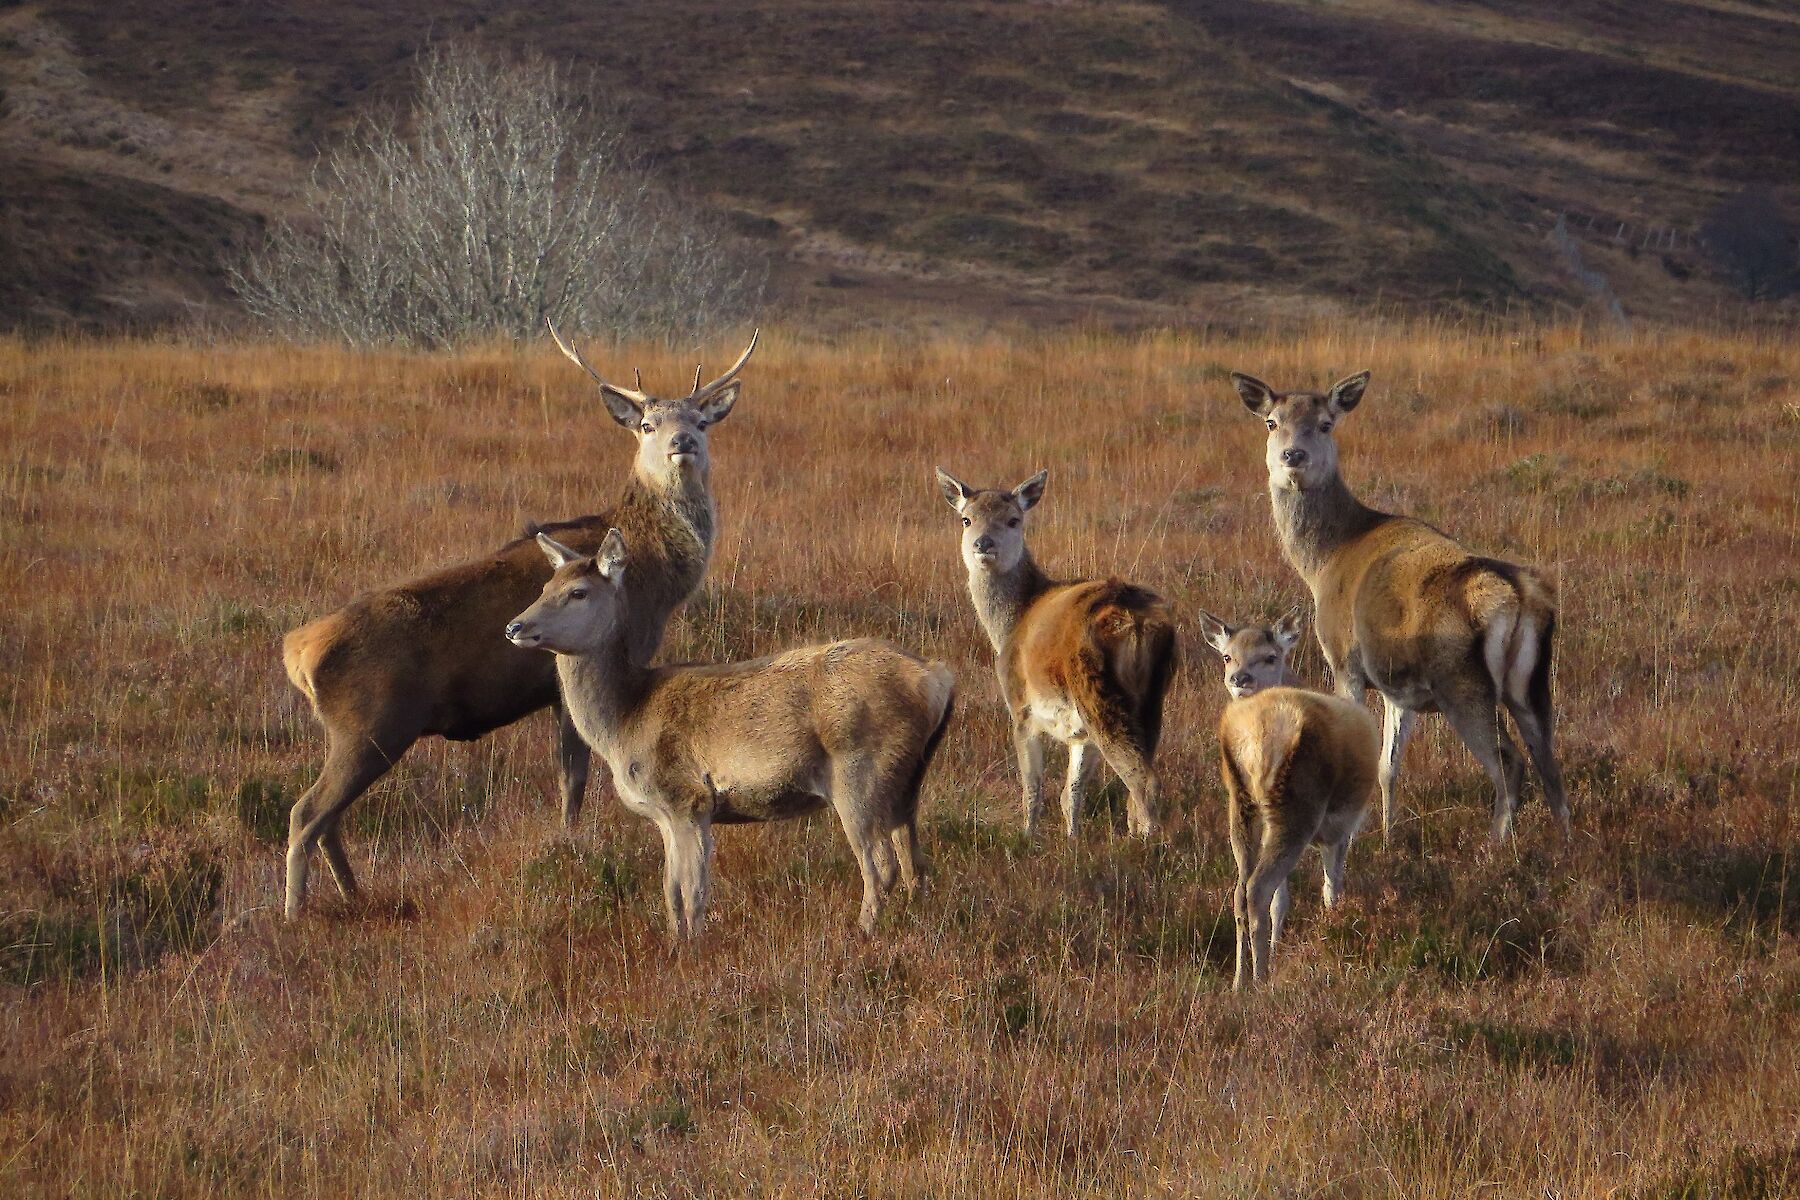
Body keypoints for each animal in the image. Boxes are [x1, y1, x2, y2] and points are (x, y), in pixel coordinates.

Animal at [277, 323, 756, 913]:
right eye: (648, 424)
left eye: (699, 421)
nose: (681, 443)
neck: (656, 578)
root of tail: (297, 652)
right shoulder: (581, 677)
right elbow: (574, 779)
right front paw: (571, 840)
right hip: (369, 724)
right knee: (306, 812)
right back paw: (295, 914)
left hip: (355, 733)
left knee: (328, 818)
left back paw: (353, 894)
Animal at [507, 528, 957, 935]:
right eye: (545, 586)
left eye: (578, 592)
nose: (515, 626)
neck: (624, 720)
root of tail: (936, 679)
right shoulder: (664, 815)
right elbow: (670, 892)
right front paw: (676, 946)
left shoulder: (688, 798)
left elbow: (692, 893)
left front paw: (694, 952)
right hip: (907, 781)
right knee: (915, 862)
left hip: (860, 771)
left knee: (881, 865)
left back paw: (861, 935)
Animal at [928, 464, 1180, 841]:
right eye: (966, 519)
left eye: (1013, 519)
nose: (983, 544)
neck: (1009, 625)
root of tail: (1136, 621)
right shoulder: (1078, 731)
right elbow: (1070, 792)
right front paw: (1071, 839)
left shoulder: (1020, 706)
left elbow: (1032, 786)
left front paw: (1028, 837)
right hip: (1151, 699)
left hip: (1096, 692)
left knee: (1143, 781)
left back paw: (1144, 845)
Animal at [1195, 604, 1375, 993]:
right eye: (1227, 655)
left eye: (1269, 656)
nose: (1240, 678)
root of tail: (1254, 734)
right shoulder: (1342, 827)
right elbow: (1331, 887)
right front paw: (1333, 926)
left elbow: (1283, 900)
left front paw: (1279, 947)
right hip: (1298, 805)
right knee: (1257, 889)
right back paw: (1260, 979)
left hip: (1241, 804)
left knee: (1239, 892)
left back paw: (1239, 979)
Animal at [1231, 370, 1569, 841]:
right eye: (1271, 422)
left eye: (1326, 423)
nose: (1292, 456)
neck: (1324, 561)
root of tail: (1518, 598)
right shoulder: (1396, 682)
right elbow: (1388, 765)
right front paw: (1390, 834)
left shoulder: (1344, 660)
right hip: (1532, 683)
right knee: (1550, 763)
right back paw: (1567, 842)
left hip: (1463, 684)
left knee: (1510, 761)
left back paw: (1498, 845)